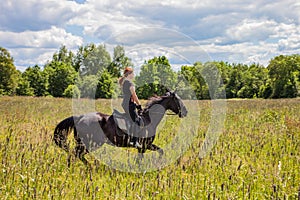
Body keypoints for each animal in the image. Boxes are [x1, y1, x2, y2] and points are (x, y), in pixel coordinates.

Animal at [52, 91, 186, 165]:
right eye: (178, 100)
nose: (185, 112)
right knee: (77, 154)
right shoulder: (144, 146)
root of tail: (80, 117)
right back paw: (88, 167)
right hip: (90, 143)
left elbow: (160, 151)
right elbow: (143, 159)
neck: (149, 118)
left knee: (75, 154)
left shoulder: (146, 146)